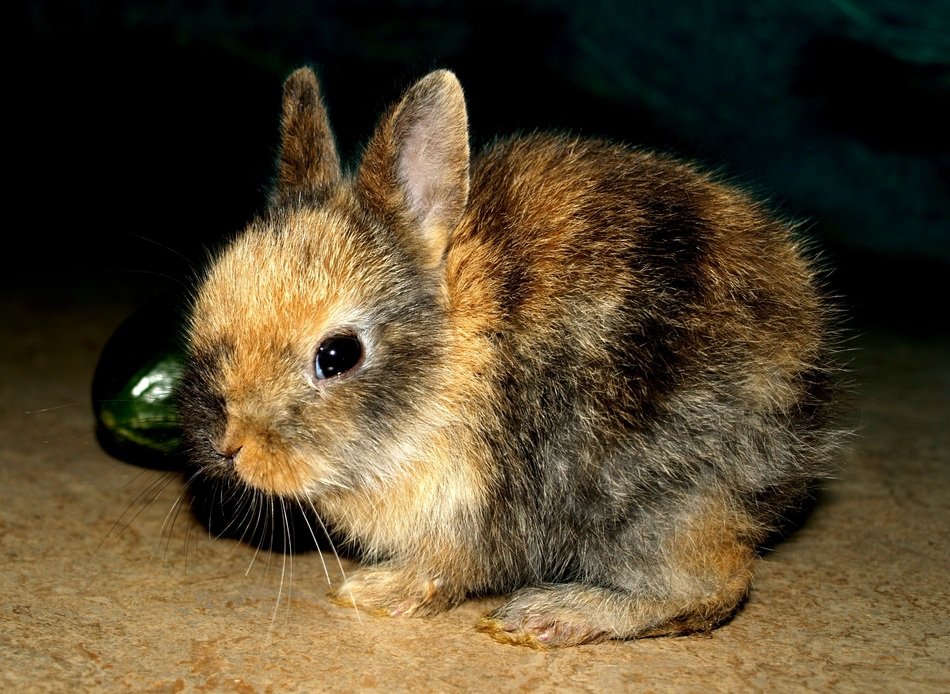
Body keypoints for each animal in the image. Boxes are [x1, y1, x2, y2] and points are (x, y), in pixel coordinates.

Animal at [178, 66, 844, 648]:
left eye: (338, 355)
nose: (229, 445)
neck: (454, 359)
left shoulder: (466, 508)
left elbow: (444, 569)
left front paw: (376, 592)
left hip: (658, 503)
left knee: (714, 589)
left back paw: (551, 616)